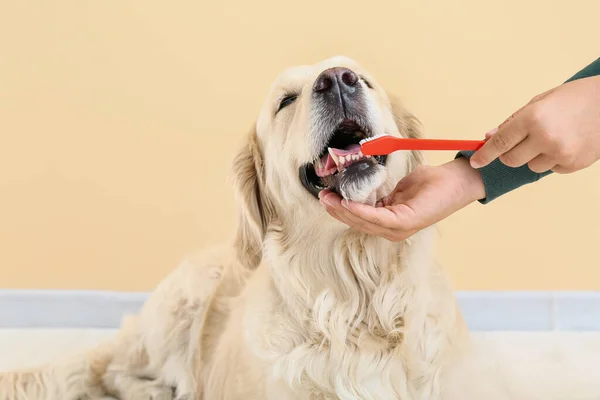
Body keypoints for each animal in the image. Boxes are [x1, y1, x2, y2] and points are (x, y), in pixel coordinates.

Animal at [2, 56, 596, 400]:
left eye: (364, 78)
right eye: (286, 101)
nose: (338, 81)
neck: (356, 294)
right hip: (180, 305)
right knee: (113, 367)